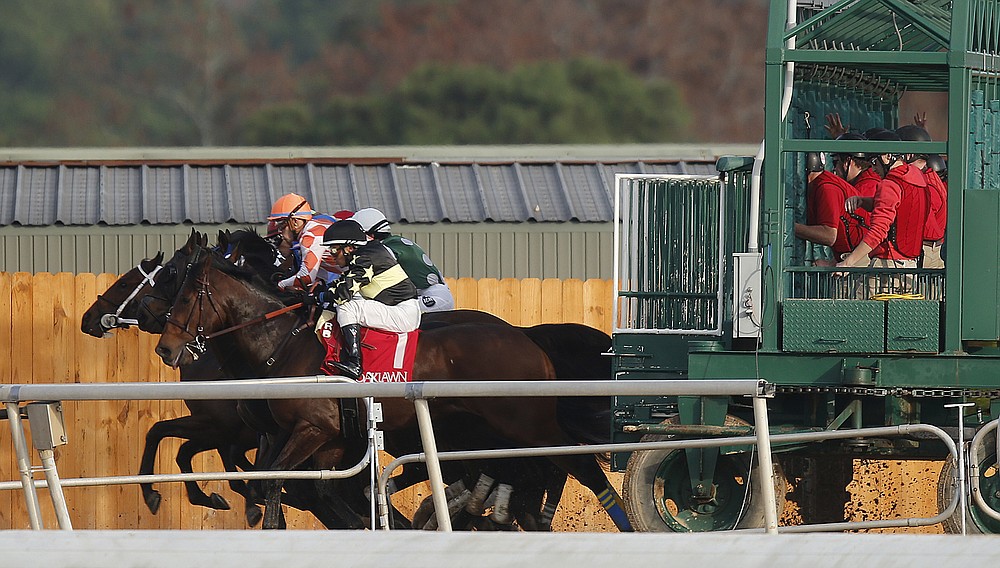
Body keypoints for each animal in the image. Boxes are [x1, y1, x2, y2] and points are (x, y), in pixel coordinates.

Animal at [148, 245, 632, 532]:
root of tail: (528, 340)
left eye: (186, 294)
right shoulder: (322, 438)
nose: (165, 349)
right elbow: (306, 485)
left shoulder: (309, 430)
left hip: (526, 424)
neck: (283, 344)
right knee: (535, 470)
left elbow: (277, 479)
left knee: (571, 467)